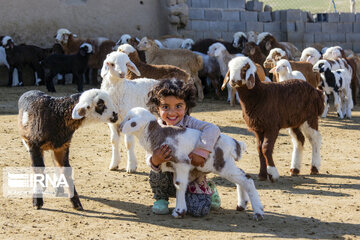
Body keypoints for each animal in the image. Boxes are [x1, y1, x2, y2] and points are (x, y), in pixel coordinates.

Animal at [119, 107, 262, 221]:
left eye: (131, 121)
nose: (120, 127)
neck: (160, 135)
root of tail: (235, 143)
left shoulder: (182, 163)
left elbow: (179, 184)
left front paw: (179, 212)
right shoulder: (173, 165)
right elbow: (176, 184)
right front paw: (179, 209)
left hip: (223, 164)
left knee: (247, 179)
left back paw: (258, 213)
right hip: (226, 165)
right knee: (241, 177)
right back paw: (242, 205)